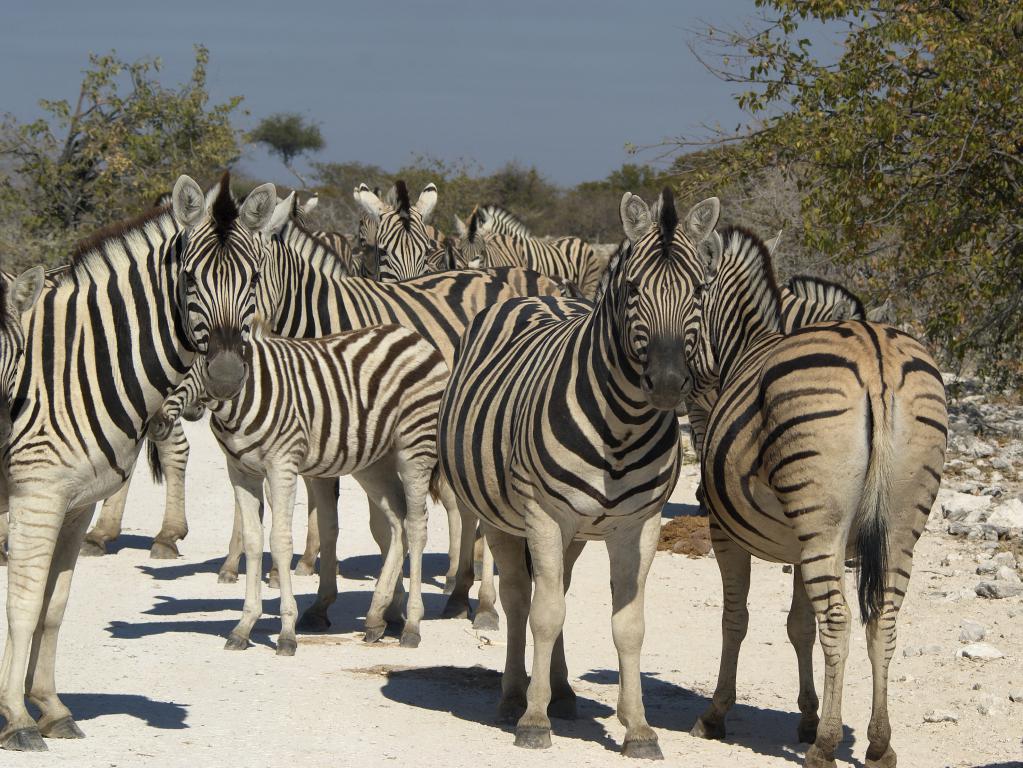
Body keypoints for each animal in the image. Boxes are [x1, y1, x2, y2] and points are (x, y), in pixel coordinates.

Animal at [0, 172, 278, 752]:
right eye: (189, 279)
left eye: (254, 278)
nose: (225, 376)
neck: (76, 366)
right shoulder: (36, 497)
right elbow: (22, 606)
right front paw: (16, 718)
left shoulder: (76, 505)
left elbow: (53, 607)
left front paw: (51, 708)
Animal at [149, 325, 446, 654]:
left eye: (185, 367)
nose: (154, 424)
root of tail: (411, 335)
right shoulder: (240, 472)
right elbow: (253, 540)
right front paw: (244, 626)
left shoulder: (282, 467)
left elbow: (279, 541)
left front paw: (287, 633)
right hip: (373, 462)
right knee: (397, 522)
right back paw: (375, 617)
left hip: (415, 448)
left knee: (416, 526)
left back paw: (411, 626)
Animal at [683, 224, 945, 764]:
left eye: (696, 294)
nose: (682, 387)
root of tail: (876, 357)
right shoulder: (801, 543)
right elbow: (798, 625)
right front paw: (807, 716)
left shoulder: (727, 534)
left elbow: (736, 619)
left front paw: (716, 714)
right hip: (900, 524)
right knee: (882, 618)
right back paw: (878, 742)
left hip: (822, 523)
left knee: (839, 621)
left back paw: (826, 745)